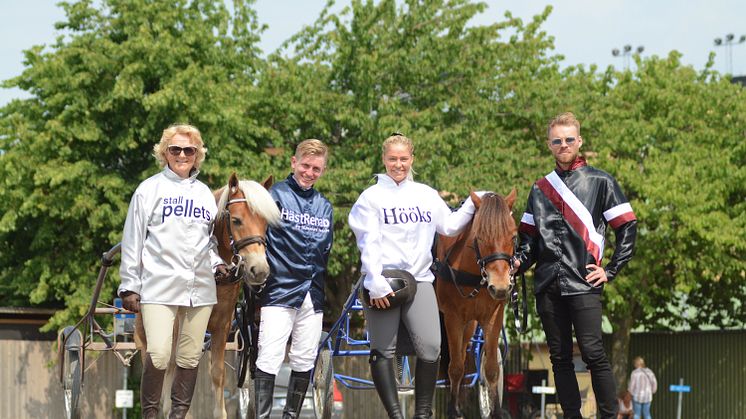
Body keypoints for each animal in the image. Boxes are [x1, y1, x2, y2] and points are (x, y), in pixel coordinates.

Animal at [134, 172, 280, 418]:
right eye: (236, 220)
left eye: (265, 223)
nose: (259, 270)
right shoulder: (178, 327)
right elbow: (173, 370)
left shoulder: (221, 326)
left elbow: (217, 373)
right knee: (160, 368)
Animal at [434, 190, 516, 419]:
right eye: (479, 237)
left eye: (513, 236)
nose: (500, 287)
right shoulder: (452, 316)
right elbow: (455, 368)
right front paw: (453, 411)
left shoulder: (493, 316)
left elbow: (490, 369)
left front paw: (495, 411)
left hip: (469, 324)